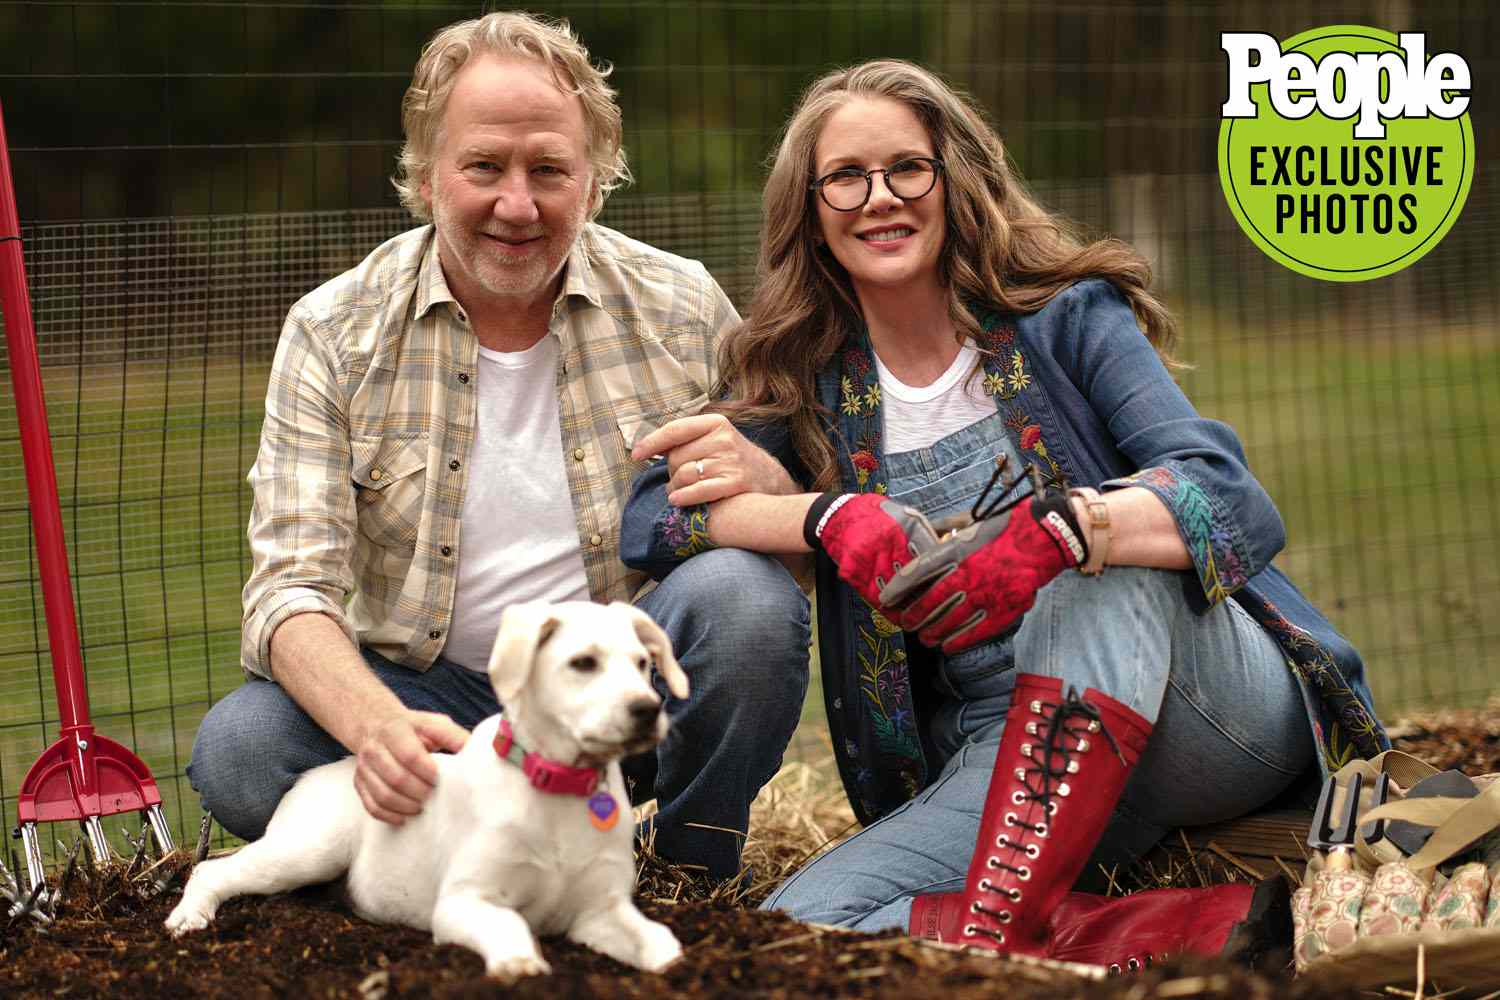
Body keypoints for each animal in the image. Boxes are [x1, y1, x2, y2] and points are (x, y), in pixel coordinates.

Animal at [162, 599, 687, 983]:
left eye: (644, 663)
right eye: (583, 662)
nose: (647, 709)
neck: (560, 787)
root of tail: (317, 775)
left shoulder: (600, 910)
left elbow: (660, 940)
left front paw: (675, 967)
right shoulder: (462, 902)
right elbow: (509, 922)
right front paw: (520, 966)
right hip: (307, 850)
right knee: (212, 869)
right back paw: (188, 917)